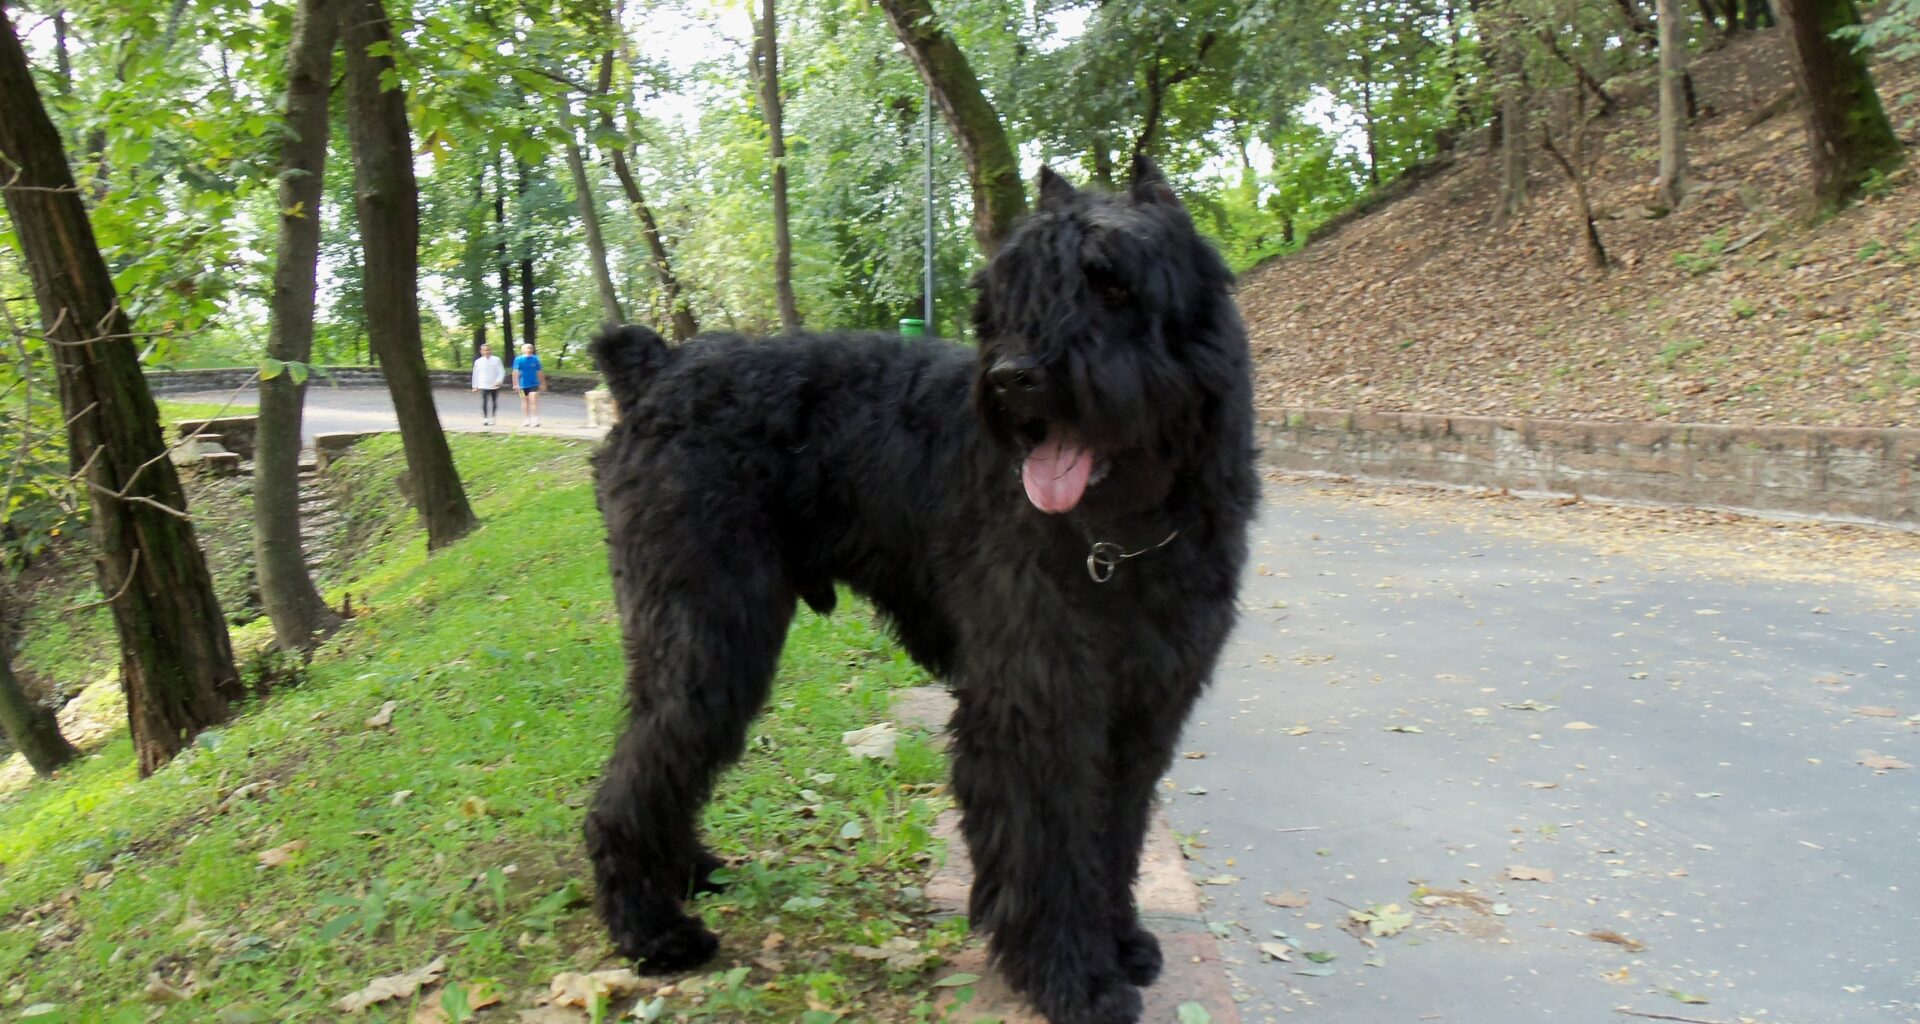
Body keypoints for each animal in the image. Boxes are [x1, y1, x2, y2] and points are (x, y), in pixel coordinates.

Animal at [583, 155, 1259, 1014]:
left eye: (1112, 284)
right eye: (1009, 290)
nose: (1014, 378)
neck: (1126, 533)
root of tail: (657, 369)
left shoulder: (1145, 709)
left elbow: (1114, 831)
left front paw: (1121, 941)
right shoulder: (1036, 704)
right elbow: (1051, 845)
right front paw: (1072, 976)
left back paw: (687, 873)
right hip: (707, 641)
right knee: (637, 776)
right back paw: (652, 930)